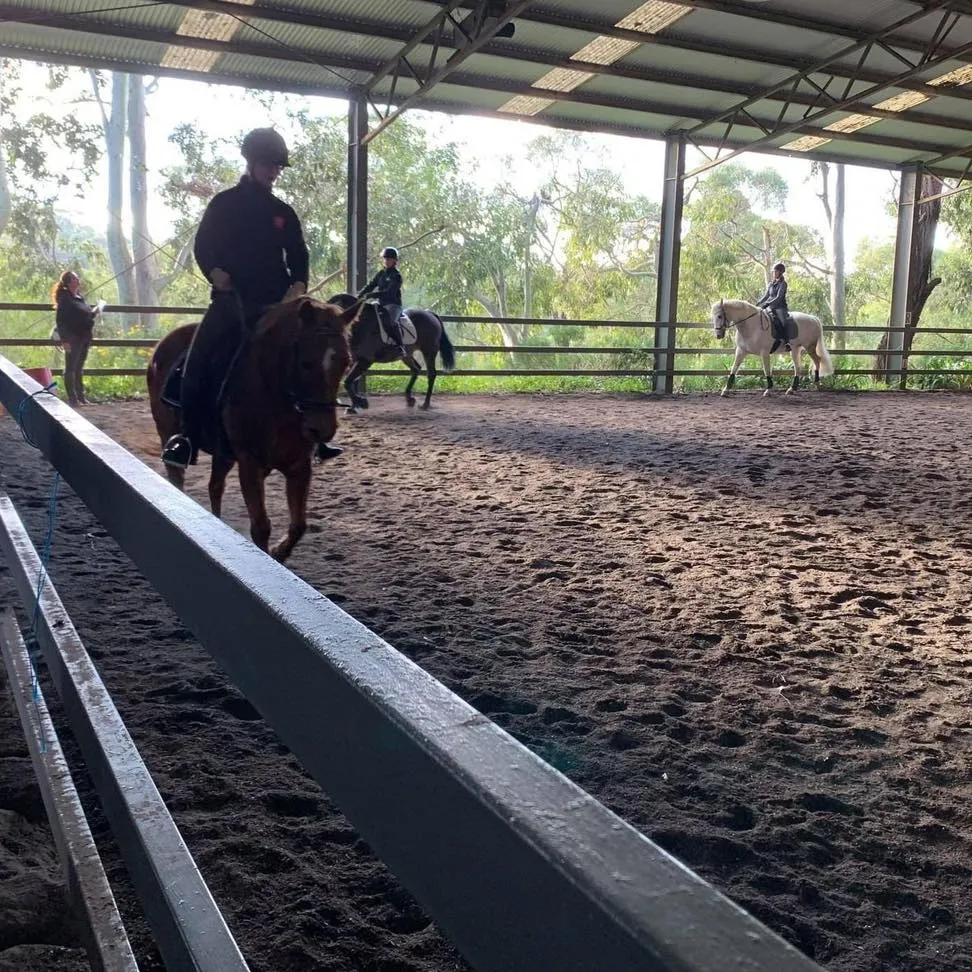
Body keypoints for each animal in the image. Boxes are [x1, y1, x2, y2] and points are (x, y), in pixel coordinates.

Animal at [146, 300, 356, 564]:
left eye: (346, 363)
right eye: (306, 363)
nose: (321, 429)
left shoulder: (299, 466)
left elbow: (299, 525)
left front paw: (279, 552)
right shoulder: (250, 465)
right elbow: (261, 527)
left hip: (223, 453)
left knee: (215, 486)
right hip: (167, 431)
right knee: (178, 478)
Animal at [322, 298, 452, 416]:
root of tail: (430, 314)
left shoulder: (365, 360)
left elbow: (348, 381)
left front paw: (361, 403)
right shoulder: (354, 360)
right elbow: (351, 381)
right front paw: (354, 406)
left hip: (429, 351)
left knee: (431, 374)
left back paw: (425, 404)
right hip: (406, 355)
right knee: (416, 369)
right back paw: (409, 399)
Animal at [708, 300, 836, 398]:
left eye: (720, 316)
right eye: (713, 317)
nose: (718, 335)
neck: (751, 325)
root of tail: (814, 318)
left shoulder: (764, 353)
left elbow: (766, 370)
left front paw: (768, 390)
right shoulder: (741, 351)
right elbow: (733, 369)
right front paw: (725, 390)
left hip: (810, 347)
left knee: (817, 360)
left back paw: (817, 384)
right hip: (796, 349)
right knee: (798, 367)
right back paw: (792, 389)